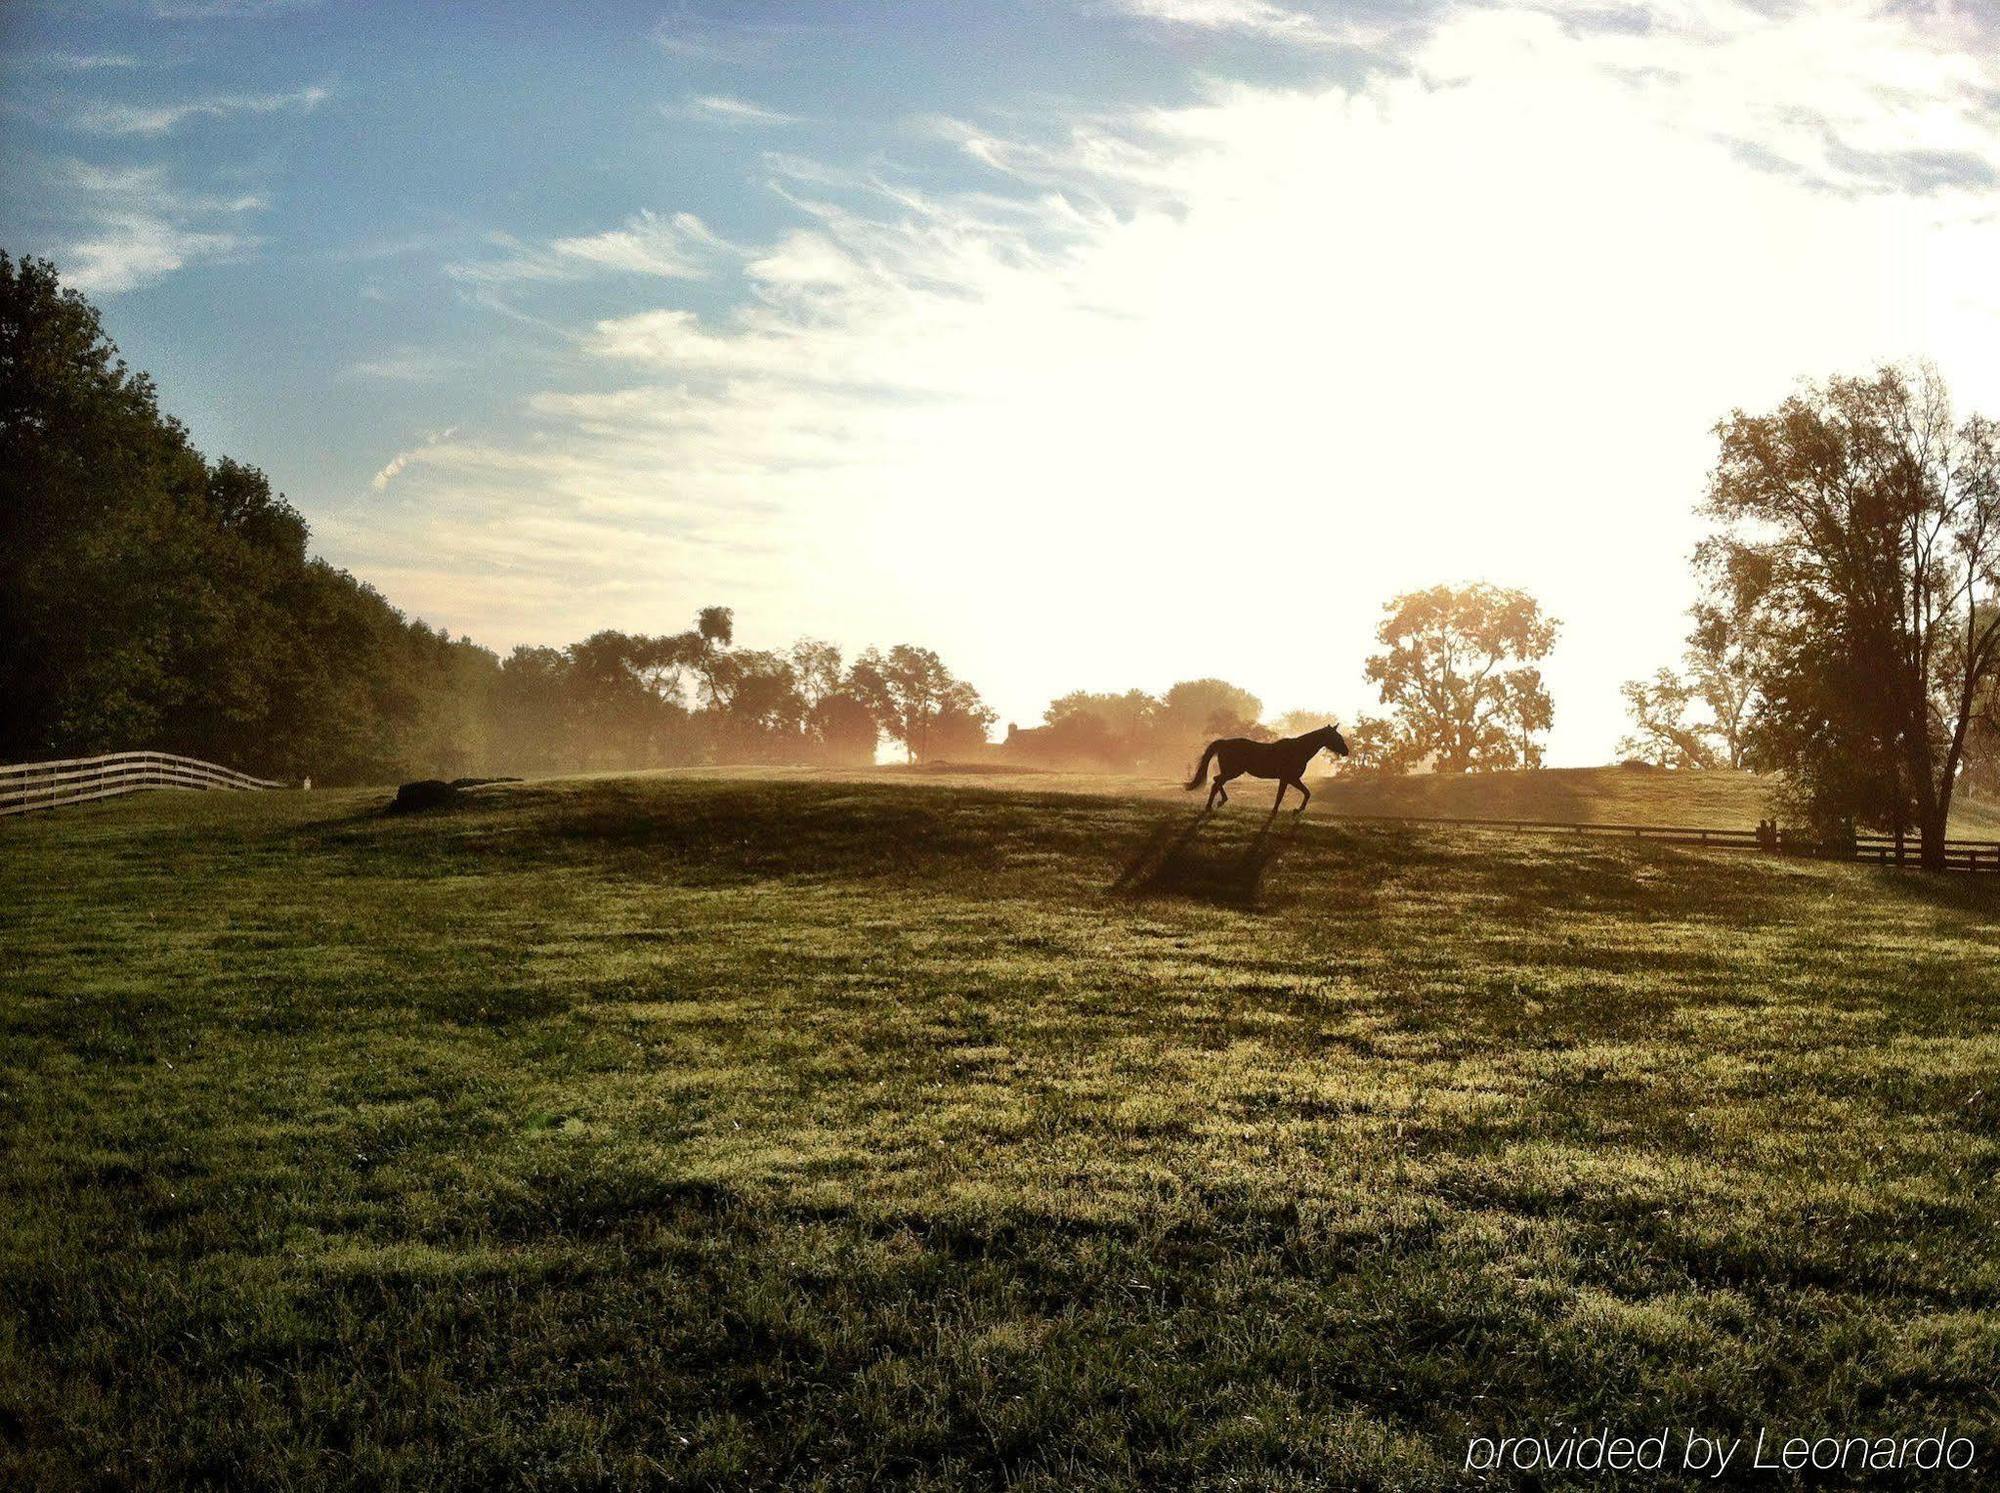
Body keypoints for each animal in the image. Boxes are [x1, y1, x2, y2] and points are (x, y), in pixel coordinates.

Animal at [1176, 724, 1352, 812]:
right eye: (1336, 737)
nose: (1346, 751)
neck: (1298, 749)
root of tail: (1224, 743)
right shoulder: (1288, 778)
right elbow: (1281, 796)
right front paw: (1277, 811)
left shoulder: (1292, 779)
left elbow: (1306, 792)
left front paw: (1298, 810)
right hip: (1233, 771)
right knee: (1216, 782)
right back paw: (1210, 805)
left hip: (1231, 772)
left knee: (1216, 781)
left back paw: (1220, 801)